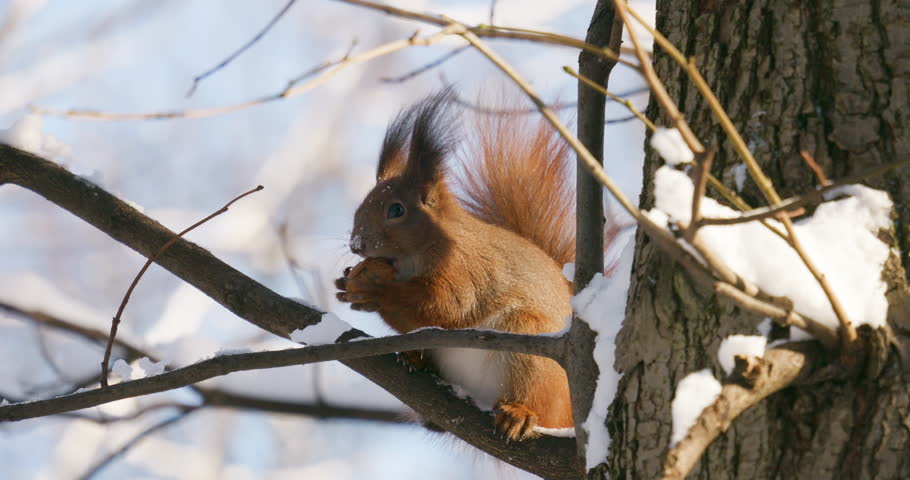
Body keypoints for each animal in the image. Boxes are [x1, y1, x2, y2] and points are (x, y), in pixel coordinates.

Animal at [335, 90, 577, 440]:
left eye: (396, 210)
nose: (356, 245)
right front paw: (346, 283)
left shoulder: (467, 270)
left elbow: (447, 308)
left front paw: (376, 288)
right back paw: (418, 363)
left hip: (532, 348)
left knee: (538, 401)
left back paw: (520, 413)